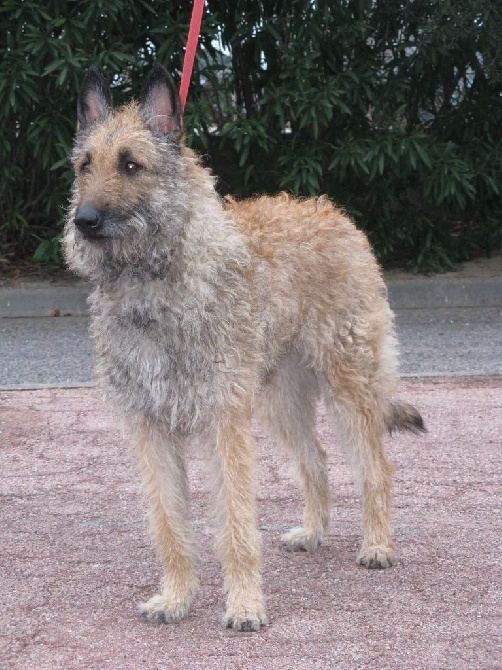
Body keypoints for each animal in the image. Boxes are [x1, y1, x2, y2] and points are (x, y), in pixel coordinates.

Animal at [61, 64, 424, 636]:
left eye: (131, 165)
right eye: (84, 166)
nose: (85, 220)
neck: (153, 282)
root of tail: (333, 214)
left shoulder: (223, 424)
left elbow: (234, 525)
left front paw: (246, 606)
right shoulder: (150, 431)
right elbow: (169, 525)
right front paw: (176, 596)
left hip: (349, 390)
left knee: (375, 468)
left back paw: (378, 545)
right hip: (279, 401)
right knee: (316, 461)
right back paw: (313, 530)